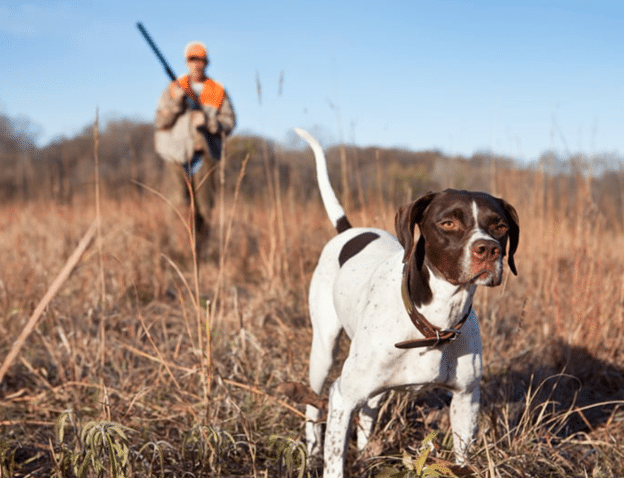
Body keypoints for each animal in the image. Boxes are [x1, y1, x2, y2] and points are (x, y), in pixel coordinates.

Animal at [295, 128, 519, 477]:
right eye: (448, 223)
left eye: (500, 226)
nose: (488, 249)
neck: (434, 322)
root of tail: (348, 230)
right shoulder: (342, 397)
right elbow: (335, 460)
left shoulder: (466, 400)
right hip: (323, 351)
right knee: (312, 405)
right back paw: (312, 452)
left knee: (369, 410)